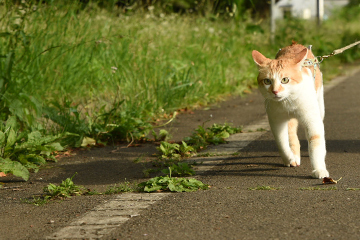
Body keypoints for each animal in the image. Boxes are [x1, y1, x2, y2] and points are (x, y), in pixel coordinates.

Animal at [252, 42, 330, 179]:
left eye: (285, 80)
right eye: (267, 81)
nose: (275, 91)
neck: (288, 103)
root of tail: (295, 44)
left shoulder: (312, 121)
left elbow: (315, 144)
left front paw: (319, 169)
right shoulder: (276, 121)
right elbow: (282, 142)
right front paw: (289, 158)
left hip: (320, 107)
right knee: (292, 136)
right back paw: (294, 157)